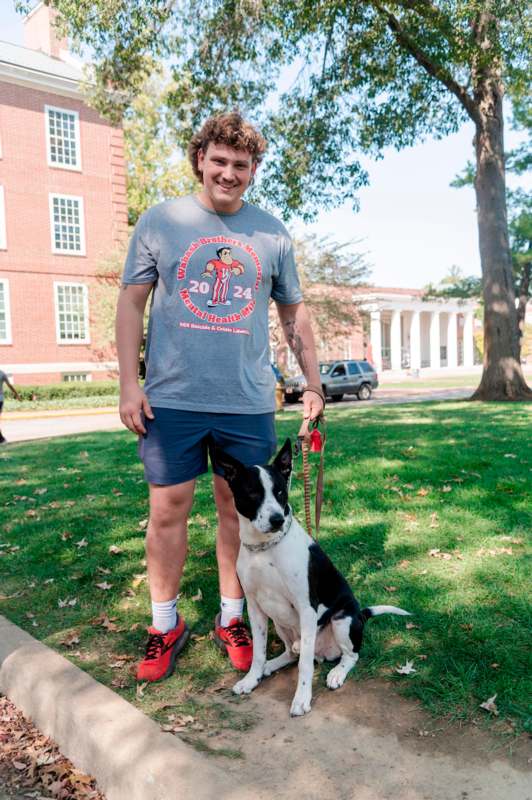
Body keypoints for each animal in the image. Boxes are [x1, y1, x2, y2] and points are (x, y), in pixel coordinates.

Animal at [216, 440, 412, 716]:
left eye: (280, 492)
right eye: (253, 493)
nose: (277, 520)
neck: (265, 549)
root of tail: (361, 614)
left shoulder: (306, 608)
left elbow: (305, 666)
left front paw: (301, 699)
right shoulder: (255, 608)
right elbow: (259, 652)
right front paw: (251, 679)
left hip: (342, 620)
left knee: (349, 656)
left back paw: (336, 673)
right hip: (281, 623)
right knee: (292, 653)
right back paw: (270, 666)